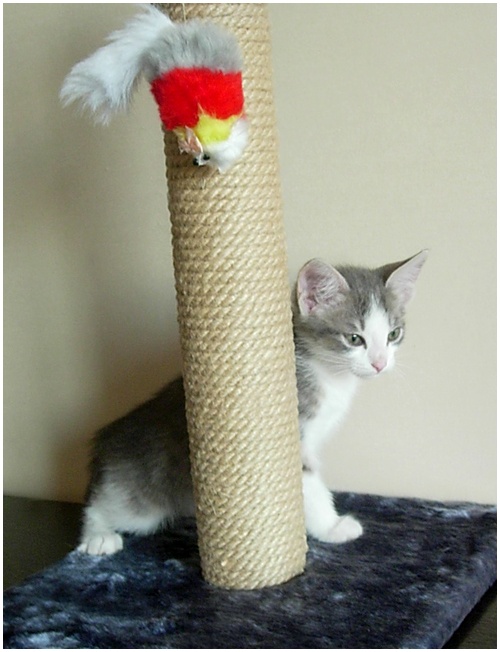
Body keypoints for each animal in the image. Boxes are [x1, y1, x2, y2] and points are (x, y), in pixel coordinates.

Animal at [78, 250, 427, 554]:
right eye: (354, 338)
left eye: (393, 334)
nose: (380, 363)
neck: (326, 372)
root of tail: (107, 439)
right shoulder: (294, 436)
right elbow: (311, 485)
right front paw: (332, 527)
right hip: (142, 501)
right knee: (103, 506)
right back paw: (98, 537)